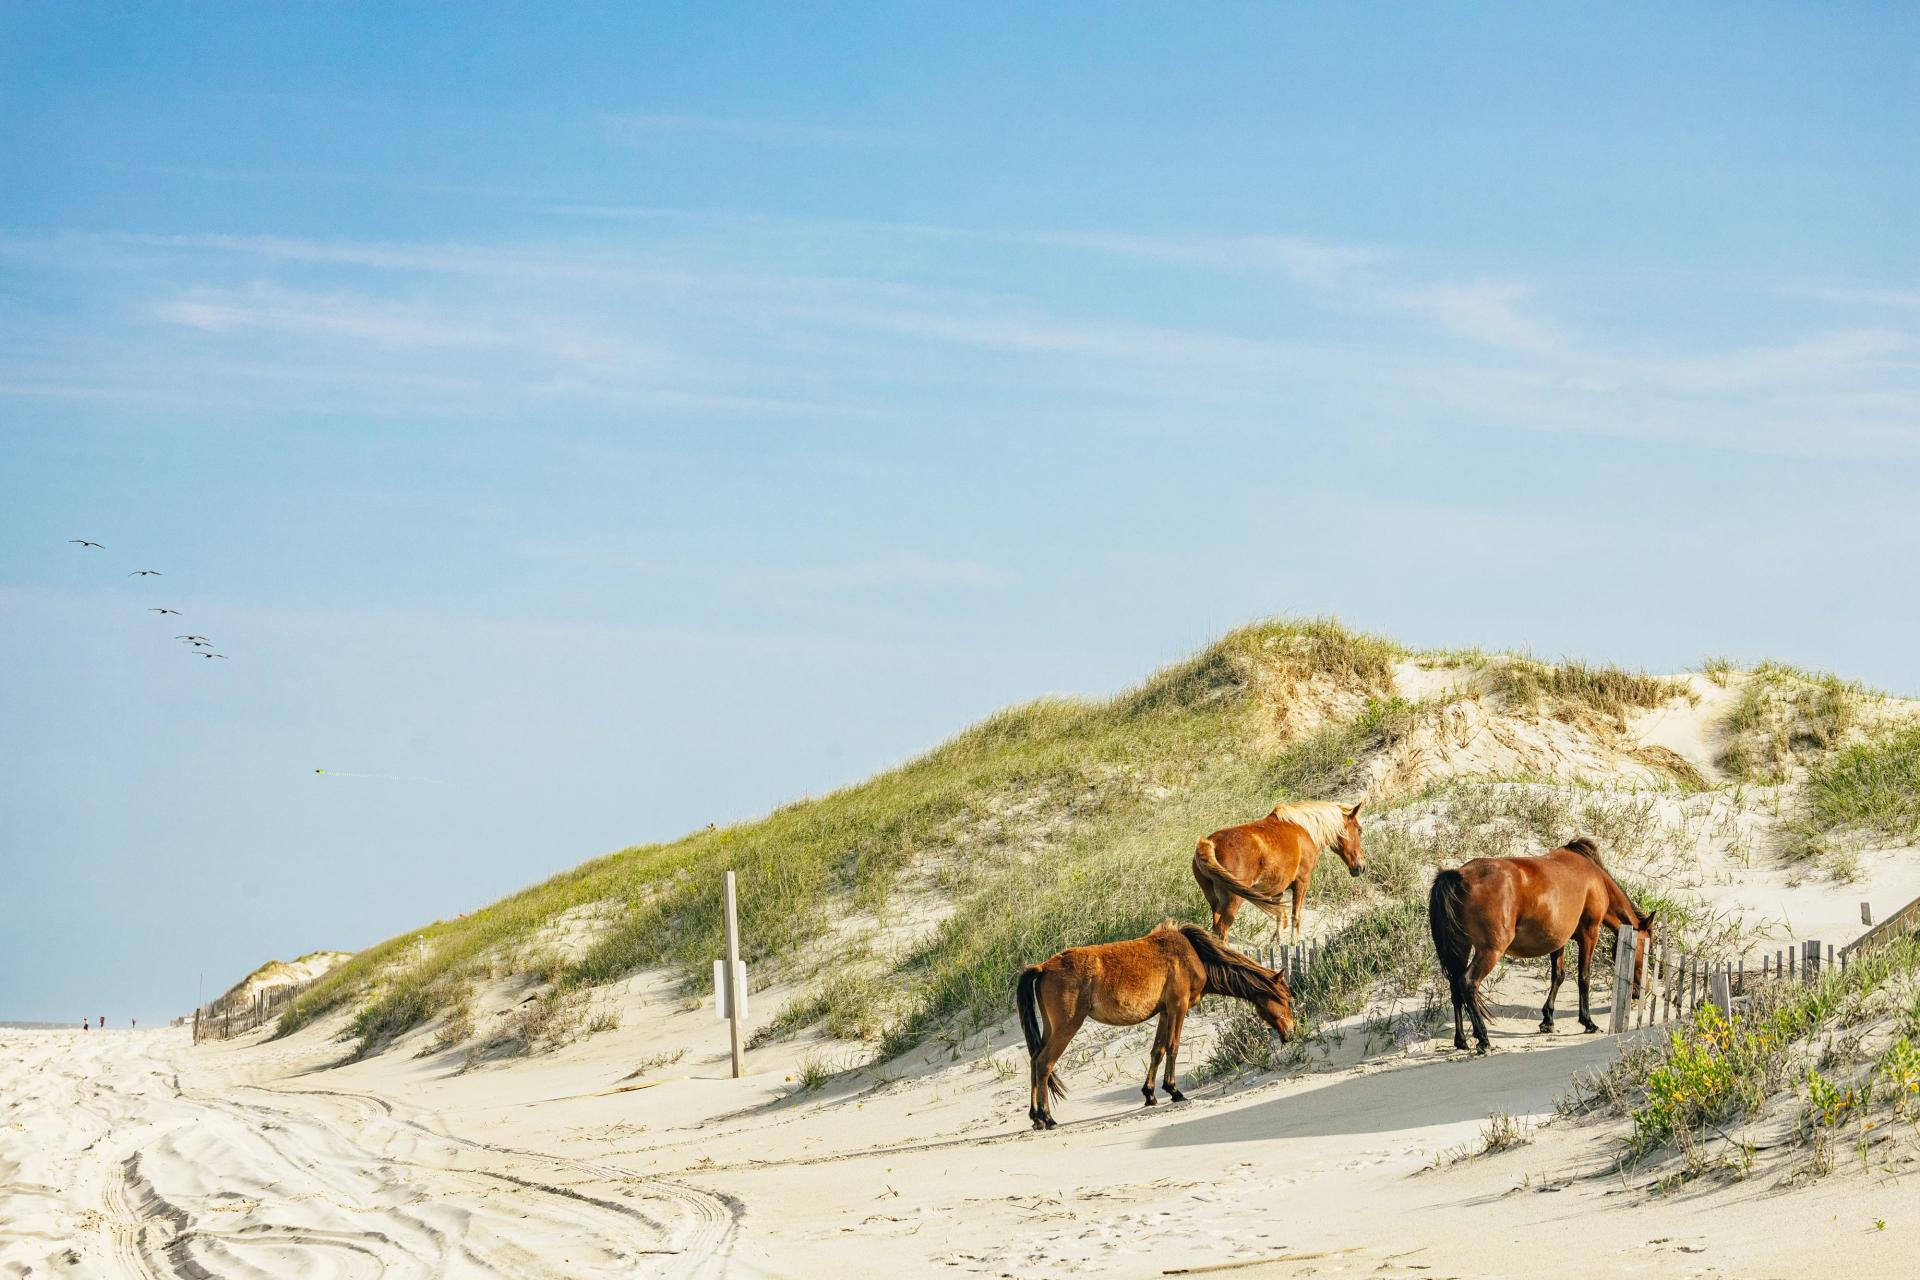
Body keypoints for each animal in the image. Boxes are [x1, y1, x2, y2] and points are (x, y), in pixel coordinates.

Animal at [1015, 921, 1295, 1130]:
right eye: (1287, 998)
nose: (1291, 1033)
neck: (1192, 954)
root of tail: (1042, 967)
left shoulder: (1164, 1011)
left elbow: (1157, 1050)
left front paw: (1150, 1094)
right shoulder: (1178, 1007)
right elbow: (1173, 1046)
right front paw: (1174, 1091)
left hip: (1051, 1028)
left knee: (1035, 1060)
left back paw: (1035, 1118)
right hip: (1066, 1027)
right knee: (1044, 1064)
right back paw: (1047, 1118)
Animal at [1192, 800, 1366, 942]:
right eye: (1359, 830)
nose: (1361, 867)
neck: (1305, 830)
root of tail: (1209, 843)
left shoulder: (1278, 888)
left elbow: (1279, 915)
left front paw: (1277, 940)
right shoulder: (1302, 882)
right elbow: (1295, 915)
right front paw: (1294, 942)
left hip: (1214, 902)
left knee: (1215, 929)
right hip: (1233, 901)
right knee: (1222, 931)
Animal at [1426, 836, 1655, 1054]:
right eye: (1647, 951)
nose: (1642, 991)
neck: (1597, 880)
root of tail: (1459, 876)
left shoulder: (1557, 939)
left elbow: (1558, 976)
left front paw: (1548, 1019)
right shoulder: (1589, 933)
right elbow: (1584, 977)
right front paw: (1587, 1022)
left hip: (1461, 947)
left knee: (1455, 986)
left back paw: (1461, 1041)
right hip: (1490, 950)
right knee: (1468, 982)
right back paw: (1483, 1039)